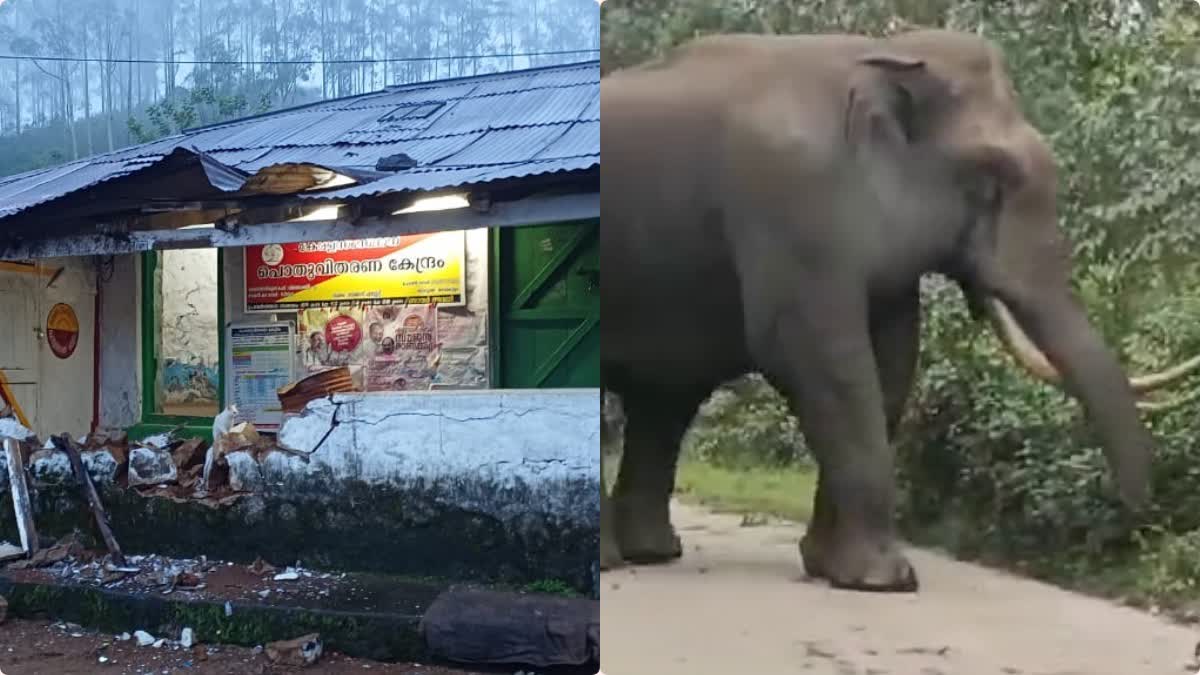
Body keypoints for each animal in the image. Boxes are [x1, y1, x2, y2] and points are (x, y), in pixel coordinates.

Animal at [600, 28, 1200, 590]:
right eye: (991, 178)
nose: (1134, 517)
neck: (883, 52)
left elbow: (891, 363)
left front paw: (831, 567)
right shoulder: (789, 199)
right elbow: (813, 355)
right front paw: (885, 581)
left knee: (666, 400)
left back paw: (651, 554)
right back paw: (613, 563)